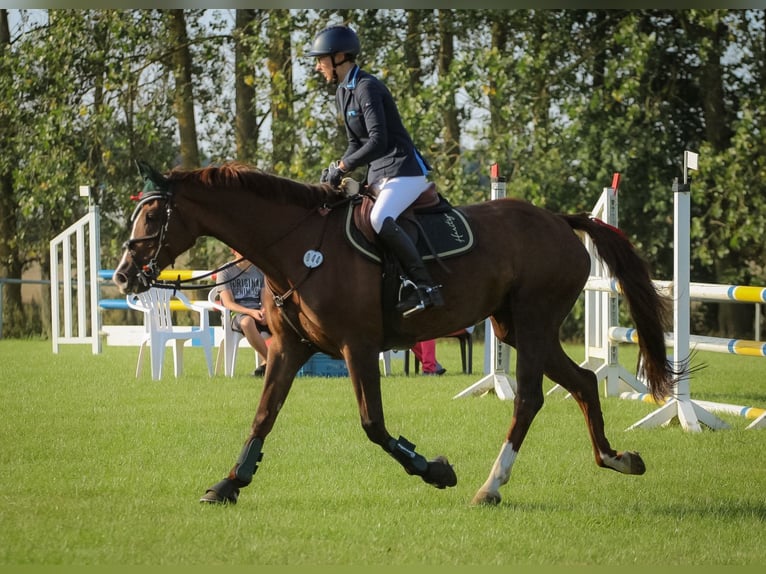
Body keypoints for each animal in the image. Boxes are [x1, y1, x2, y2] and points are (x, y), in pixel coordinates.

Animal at [111, 160, 676, 506]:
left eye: (154, 215)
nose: (123, 275)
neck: (296, 247)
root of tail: (558, 220)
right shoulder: (289, 348)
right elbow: (263, 415)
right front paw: (229, 483)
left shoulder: (356, 346)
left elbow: (373, 425)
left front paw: (436, 470)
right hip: (516, 328)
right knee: (583, 381)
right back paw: (616, 458)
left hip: (534, 323)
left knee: (530, 398)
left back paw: (492, 485)